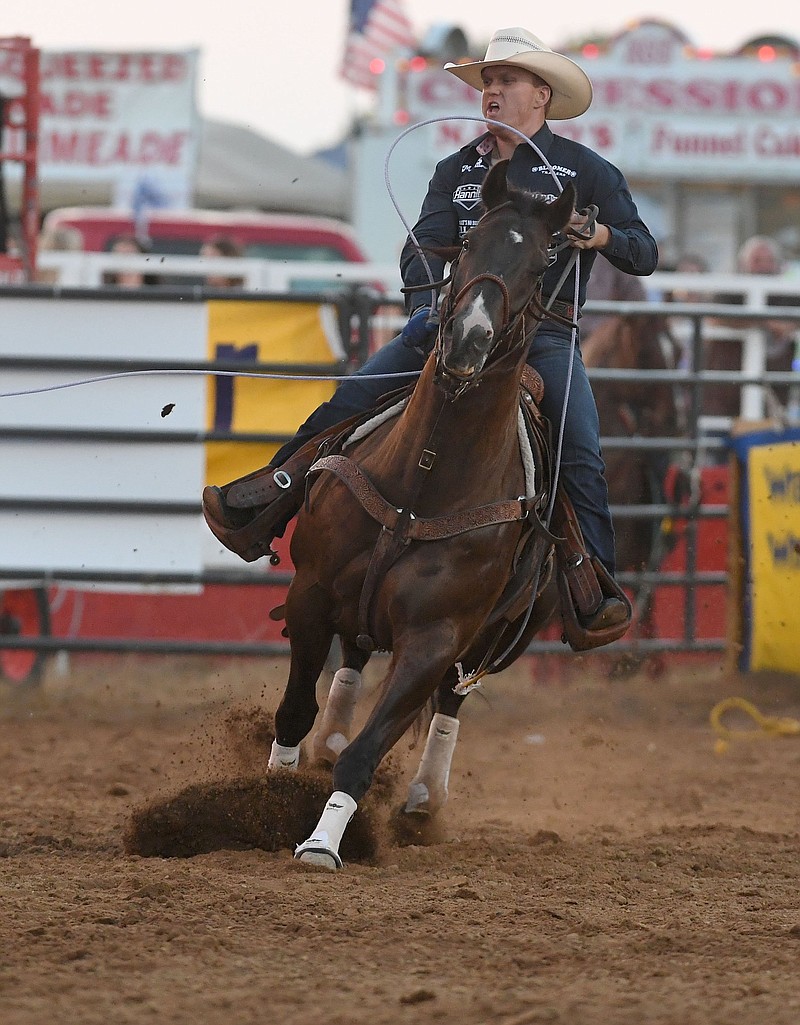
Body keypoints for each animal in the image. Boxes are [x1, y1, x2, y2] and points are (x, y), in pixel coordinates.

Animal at [270, 164, 582, 869]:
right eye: (466, 248)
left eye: (540, 265)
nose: (468, 339)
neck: (424, 481)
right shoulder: (309, 593)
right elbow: (295, 709)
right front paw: (258, 796)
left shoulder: (435, 639)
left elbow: (366, 754)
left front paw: (321, 843)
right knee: (354, 660)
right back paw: (328, 741)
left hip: (502, 635)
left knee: (448, 702)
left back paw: (421, 799)